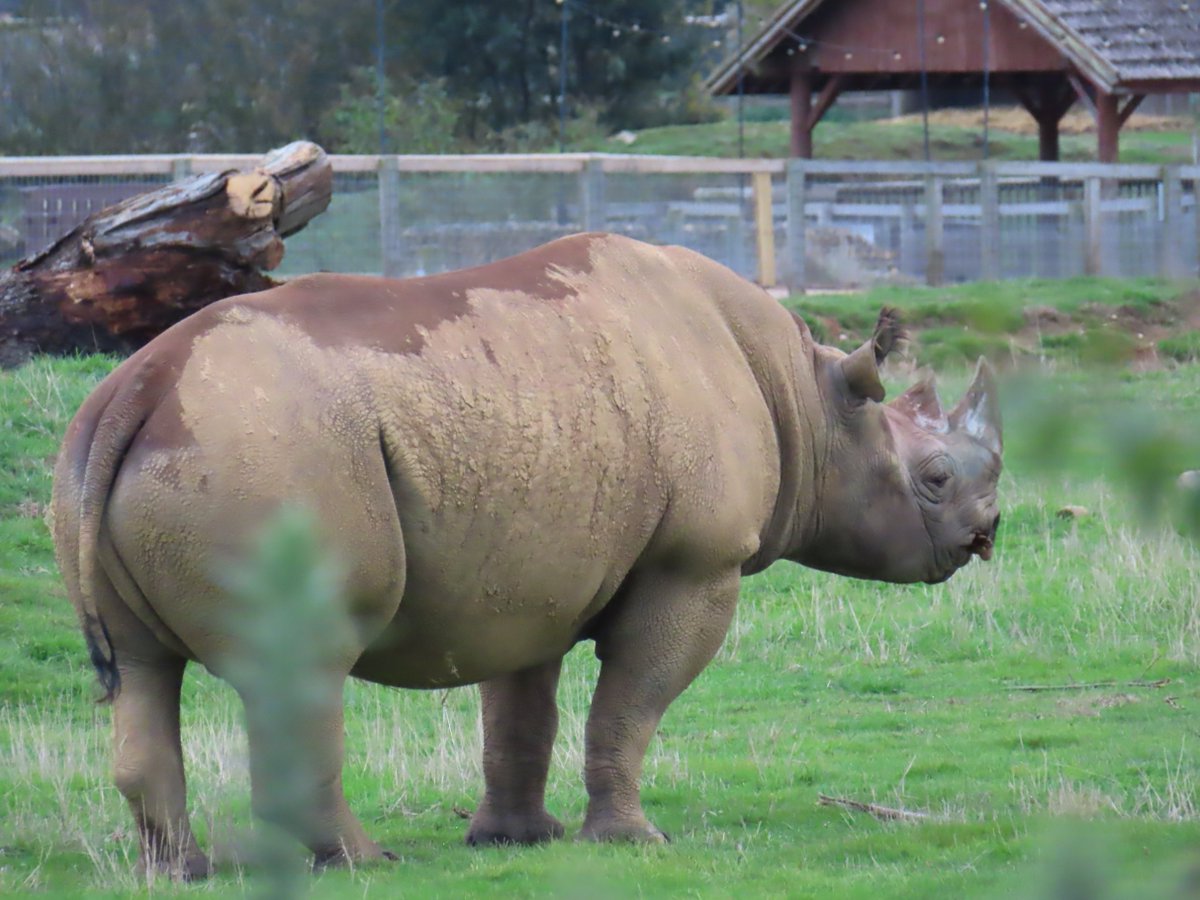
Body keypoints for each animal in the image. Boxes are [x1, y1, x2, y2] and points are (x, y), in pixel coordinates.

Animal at [51, 232, 1001, 878]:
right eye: (935, 479)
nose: (986, 532)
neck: (810, 400)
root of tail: (138, 386)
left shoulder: (528, 572)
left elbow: (520, 714)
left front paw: (515, 839)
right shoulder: (694, 565)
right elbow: (632, 701)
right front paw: (633, 840)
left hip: (135, 457)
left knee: (144, 671)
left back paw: (182, 873)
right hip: (268, 456)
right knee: (304, 664)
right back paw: (364, 863)